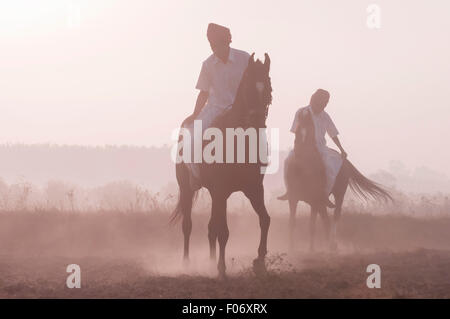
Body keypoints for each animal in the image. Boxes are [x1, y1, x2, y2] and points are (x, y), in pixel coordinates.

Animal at [172, 53, 272, 278]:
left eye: (269, 88)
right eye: (248, 87)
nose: (257, 120)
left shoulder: (254, 189)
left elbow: (265, 219)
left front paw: (260, 261)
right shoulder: (221, 190)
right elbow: (223, 231)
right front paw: (222, 268)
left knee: (211, 228)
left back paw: (209, 262)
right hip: (187, 188)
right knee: (188, 225)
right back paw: (186, 263)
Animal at [280, 106, 392, 254]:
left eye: (310, 129)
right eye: (297, 131)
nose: (301, 149)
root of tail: (344, 160)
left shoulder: (315, 200)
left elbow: (312, 225)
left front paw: (312, 249)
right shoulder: (293, 198)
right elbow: (292, 223)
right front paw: (291, 248)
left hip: (339, 194)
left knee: (335, 215)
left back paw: (332, 243)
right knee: (325, 218)